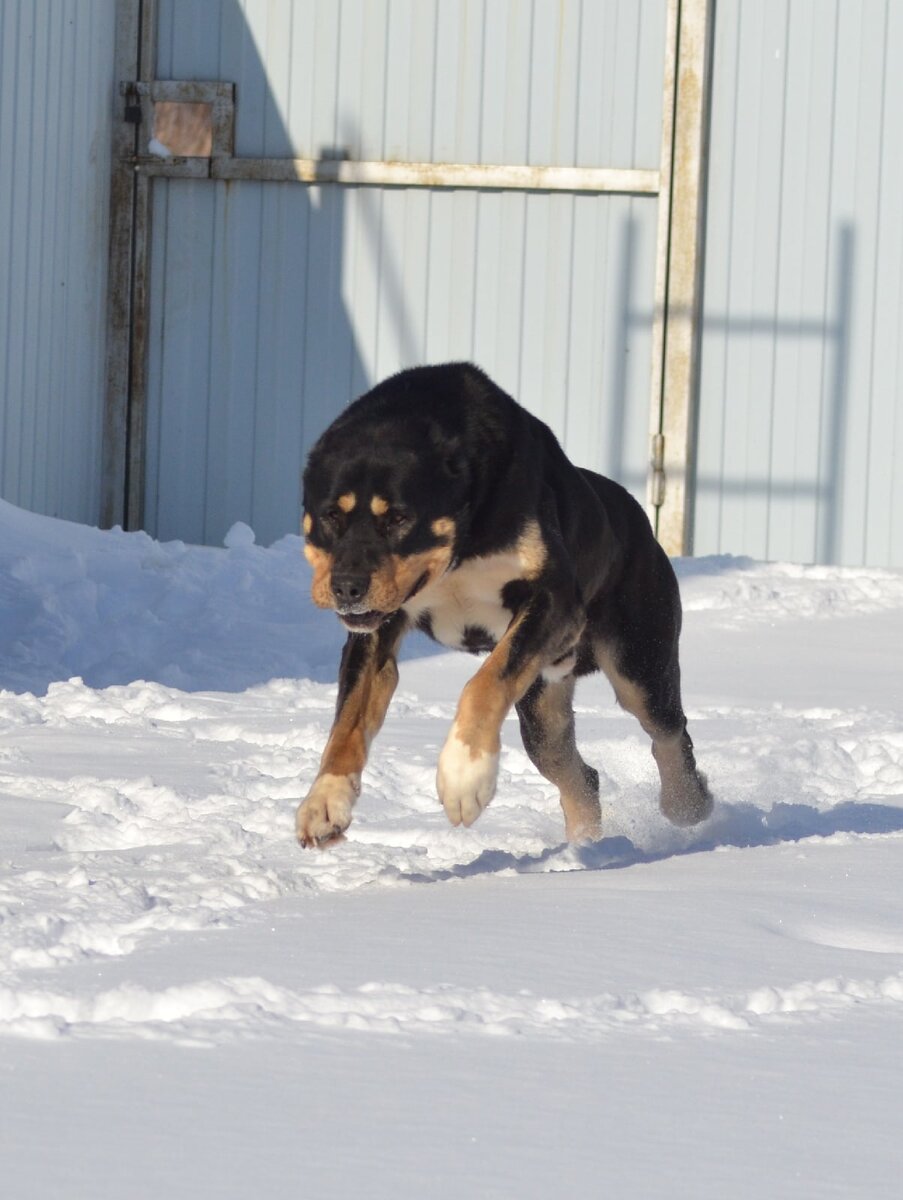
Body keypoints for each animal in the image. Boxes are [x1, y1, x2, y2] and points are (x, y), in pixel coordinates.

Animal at [296, 360, 710, 849]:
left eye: (398, 518)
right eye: (330, 515)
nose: (346, 587)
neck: (462, 544)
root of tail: (643, 525)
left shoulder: (550, 598)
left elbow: (484, 682)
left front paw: (464, 773)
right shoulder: (376, 632)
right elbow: (347, 723)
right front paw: (325, 801)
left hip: (639, 666)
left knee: (670, 733)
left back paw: (688, 803)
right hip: (543, 711)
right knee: (581, 777)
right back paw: (586, 847)